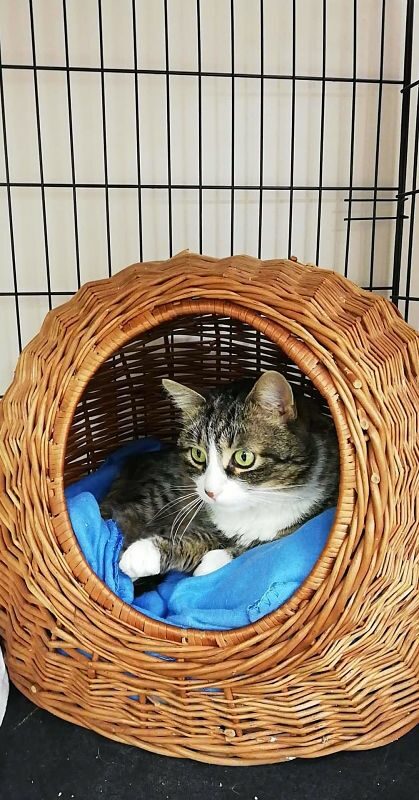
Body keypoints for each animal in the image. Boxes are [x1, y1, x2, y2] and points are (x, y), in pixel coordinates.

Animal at [100, 371, 339, 581]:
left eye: (244, 457)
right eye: (197, 454)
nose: (210, 492)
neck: (258, 504)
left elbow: (256, 544)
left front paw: (211, 562)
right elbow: (199, 536)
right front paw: (144, 553)